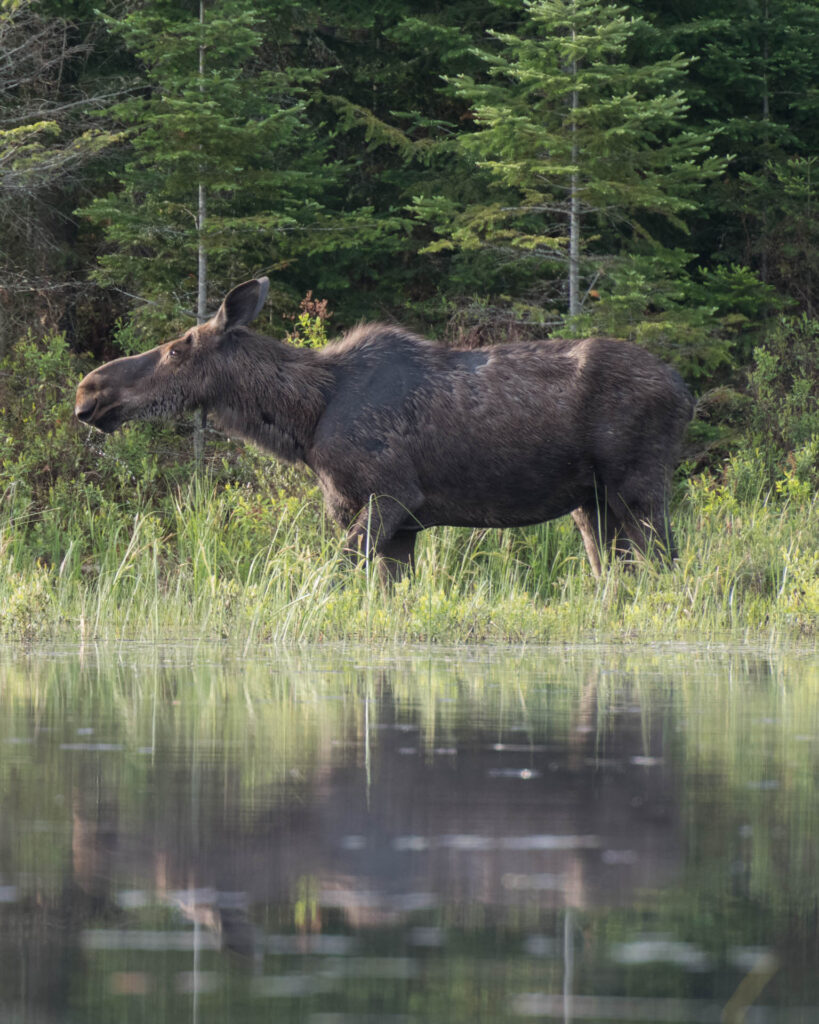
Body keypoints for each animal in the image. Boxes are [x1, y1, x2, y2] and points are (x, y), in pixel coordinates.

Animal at [75, 276, 692, 581]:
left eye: (177, 349)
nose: (90, 391)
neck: (303, 420)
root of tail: (686, 392)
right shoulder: (403, 525)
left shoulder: (390, 496)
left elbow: (338, 577)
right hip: (591, 502)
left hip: (638, 487)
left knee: (667, 564)